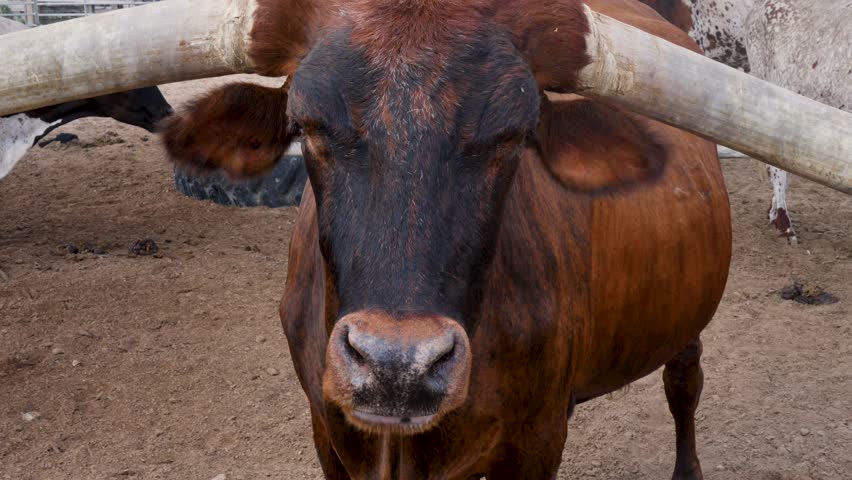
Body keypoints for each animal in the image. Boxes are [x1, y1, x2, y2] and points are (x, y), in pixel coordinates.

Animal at [160, 0, 732, 478]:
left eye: (513, 138)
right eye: (307, 126)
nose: (397, 368)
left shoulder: (538, 441)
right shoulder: (326, 431)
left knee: (684, 383)